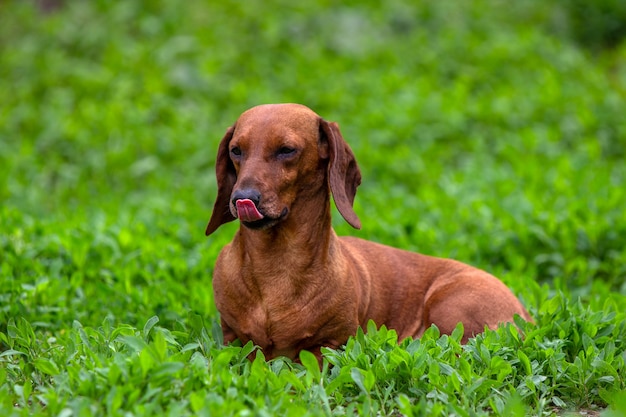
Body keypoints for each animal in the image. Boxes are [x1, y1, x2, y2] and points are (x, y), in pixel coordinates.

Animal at [205, 102, 528, 360]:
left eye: (287, 150)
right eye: (236, 150)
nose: (241, 198)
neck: (276, 266)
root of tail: (525, 315)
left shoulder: (329, 346)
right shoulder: (233, 340)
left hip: (449, 309)